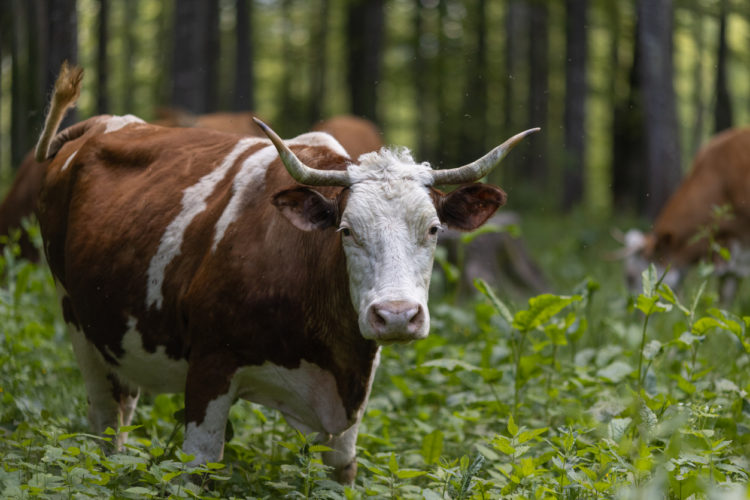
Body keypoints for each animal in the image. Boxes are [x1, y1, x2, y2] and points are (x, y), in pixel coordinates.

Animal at [33, 63, 538, 484]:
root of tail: (102, 123)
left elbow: (341, 469)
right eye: (346, 230)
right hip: (79, 325)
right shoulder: (210, 368)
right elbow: (198, 466)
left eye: (433, 228)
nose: (396, 315)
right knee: (106, 422)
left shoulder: (350, 397)